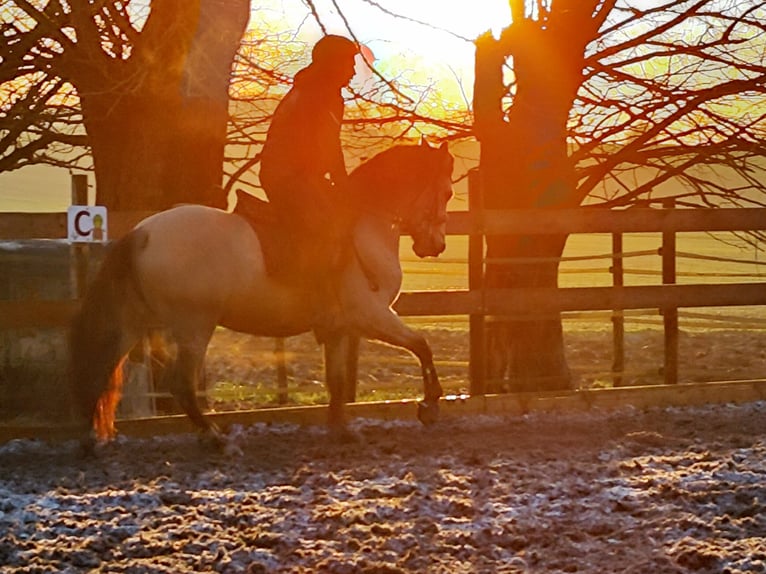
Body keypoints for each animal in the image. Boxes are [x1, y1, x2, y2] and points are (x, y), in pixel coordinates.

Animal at [69, 142, 456, 452]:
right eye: (448, 192)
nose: (436, 246)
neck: (364, 226)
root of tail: (143, 232)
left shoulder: (340, 329)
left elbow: (337, 379)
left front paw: (342, 430)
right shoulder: (372, 315)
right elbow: (422, 346)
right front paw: (430, 407)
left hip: (135, 323)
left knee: (103, 368)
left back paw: (89, 438)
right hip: (194, 326)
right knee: (179, 384)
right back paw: (216, 438)